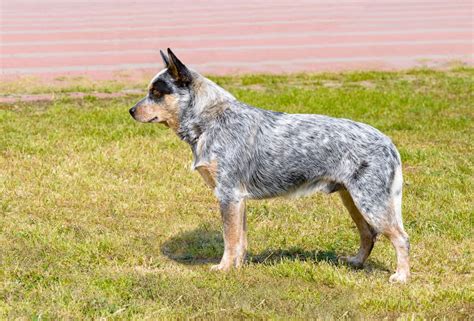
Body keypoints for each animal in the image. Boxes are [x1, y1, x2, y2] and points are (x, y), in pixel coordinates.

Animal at [130, 48, 412, 282]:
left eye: (156, 93)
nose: (131, 111)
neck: (210, 121)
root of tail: (389, 142)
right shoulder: (237, 199)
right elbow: (240, 239)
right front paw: (238, 268)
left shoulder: (227, 194)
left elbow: (229, 239)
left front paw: (223, 269)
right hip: (352, 200)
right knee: (368, 234)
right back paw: (355, 262)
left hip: (370, 202)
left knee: (401, 238)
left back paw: (401, 277)